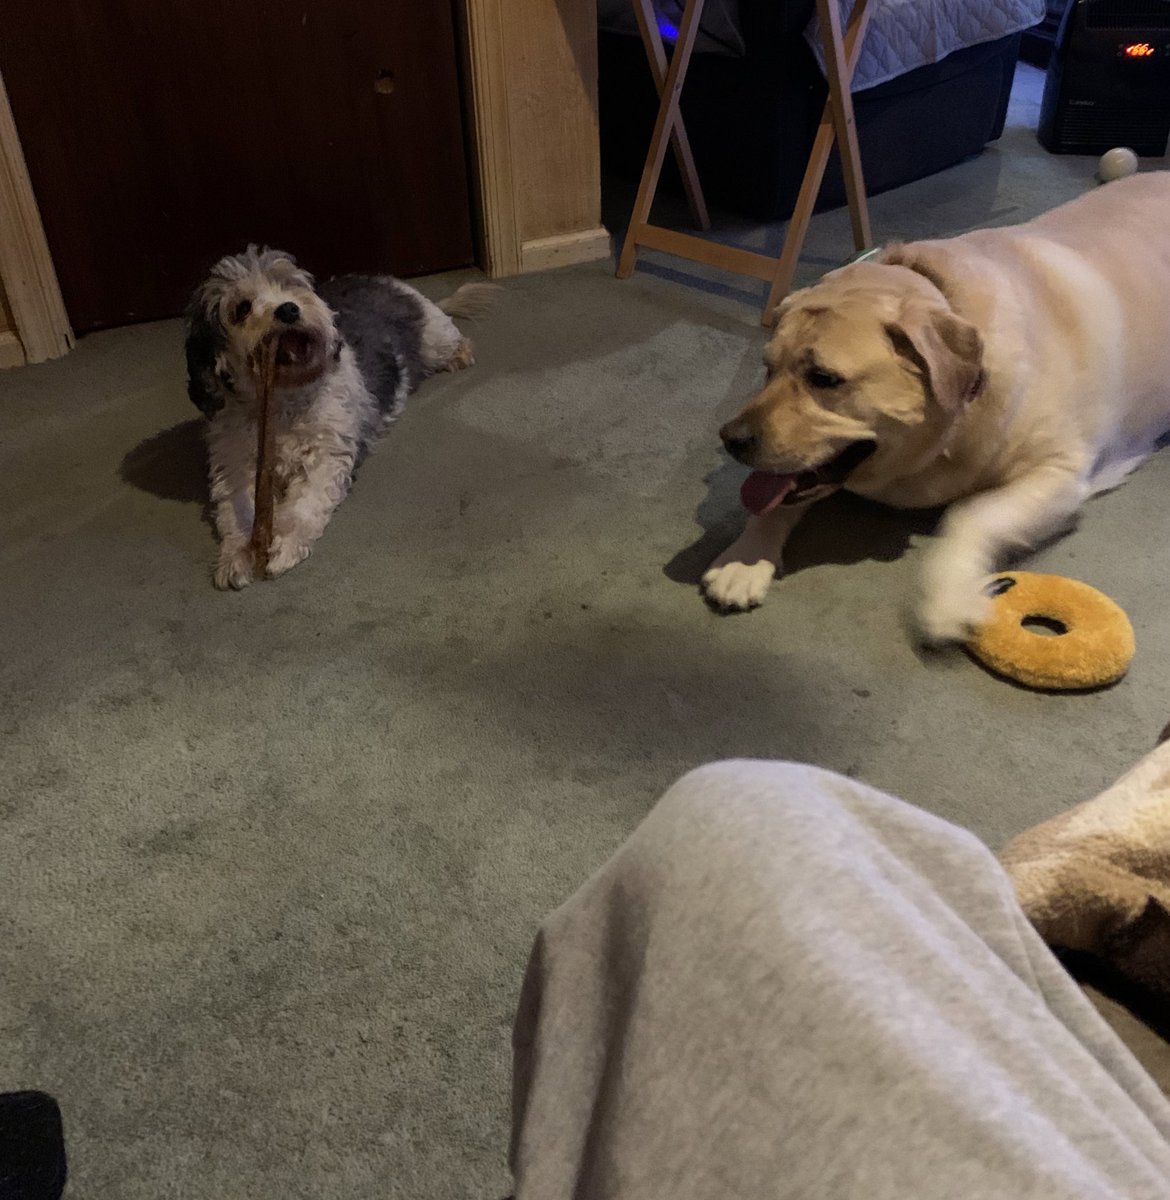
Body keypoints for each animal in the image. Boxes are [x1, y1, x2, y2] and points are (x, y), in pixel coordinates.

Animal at [186, 246, 494, 588]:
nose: (289, 309)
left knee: (454, 340)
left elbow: (303, 506)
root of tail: (385, 280)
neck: (285, 404)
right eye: (242, 308)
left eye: (290, 285)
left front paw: (285, 546)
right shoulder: (235, 467)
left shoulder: (326, 456)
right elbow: (236, 514)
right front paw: (235, 558)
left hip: (434, 337)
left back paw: (459, 355)